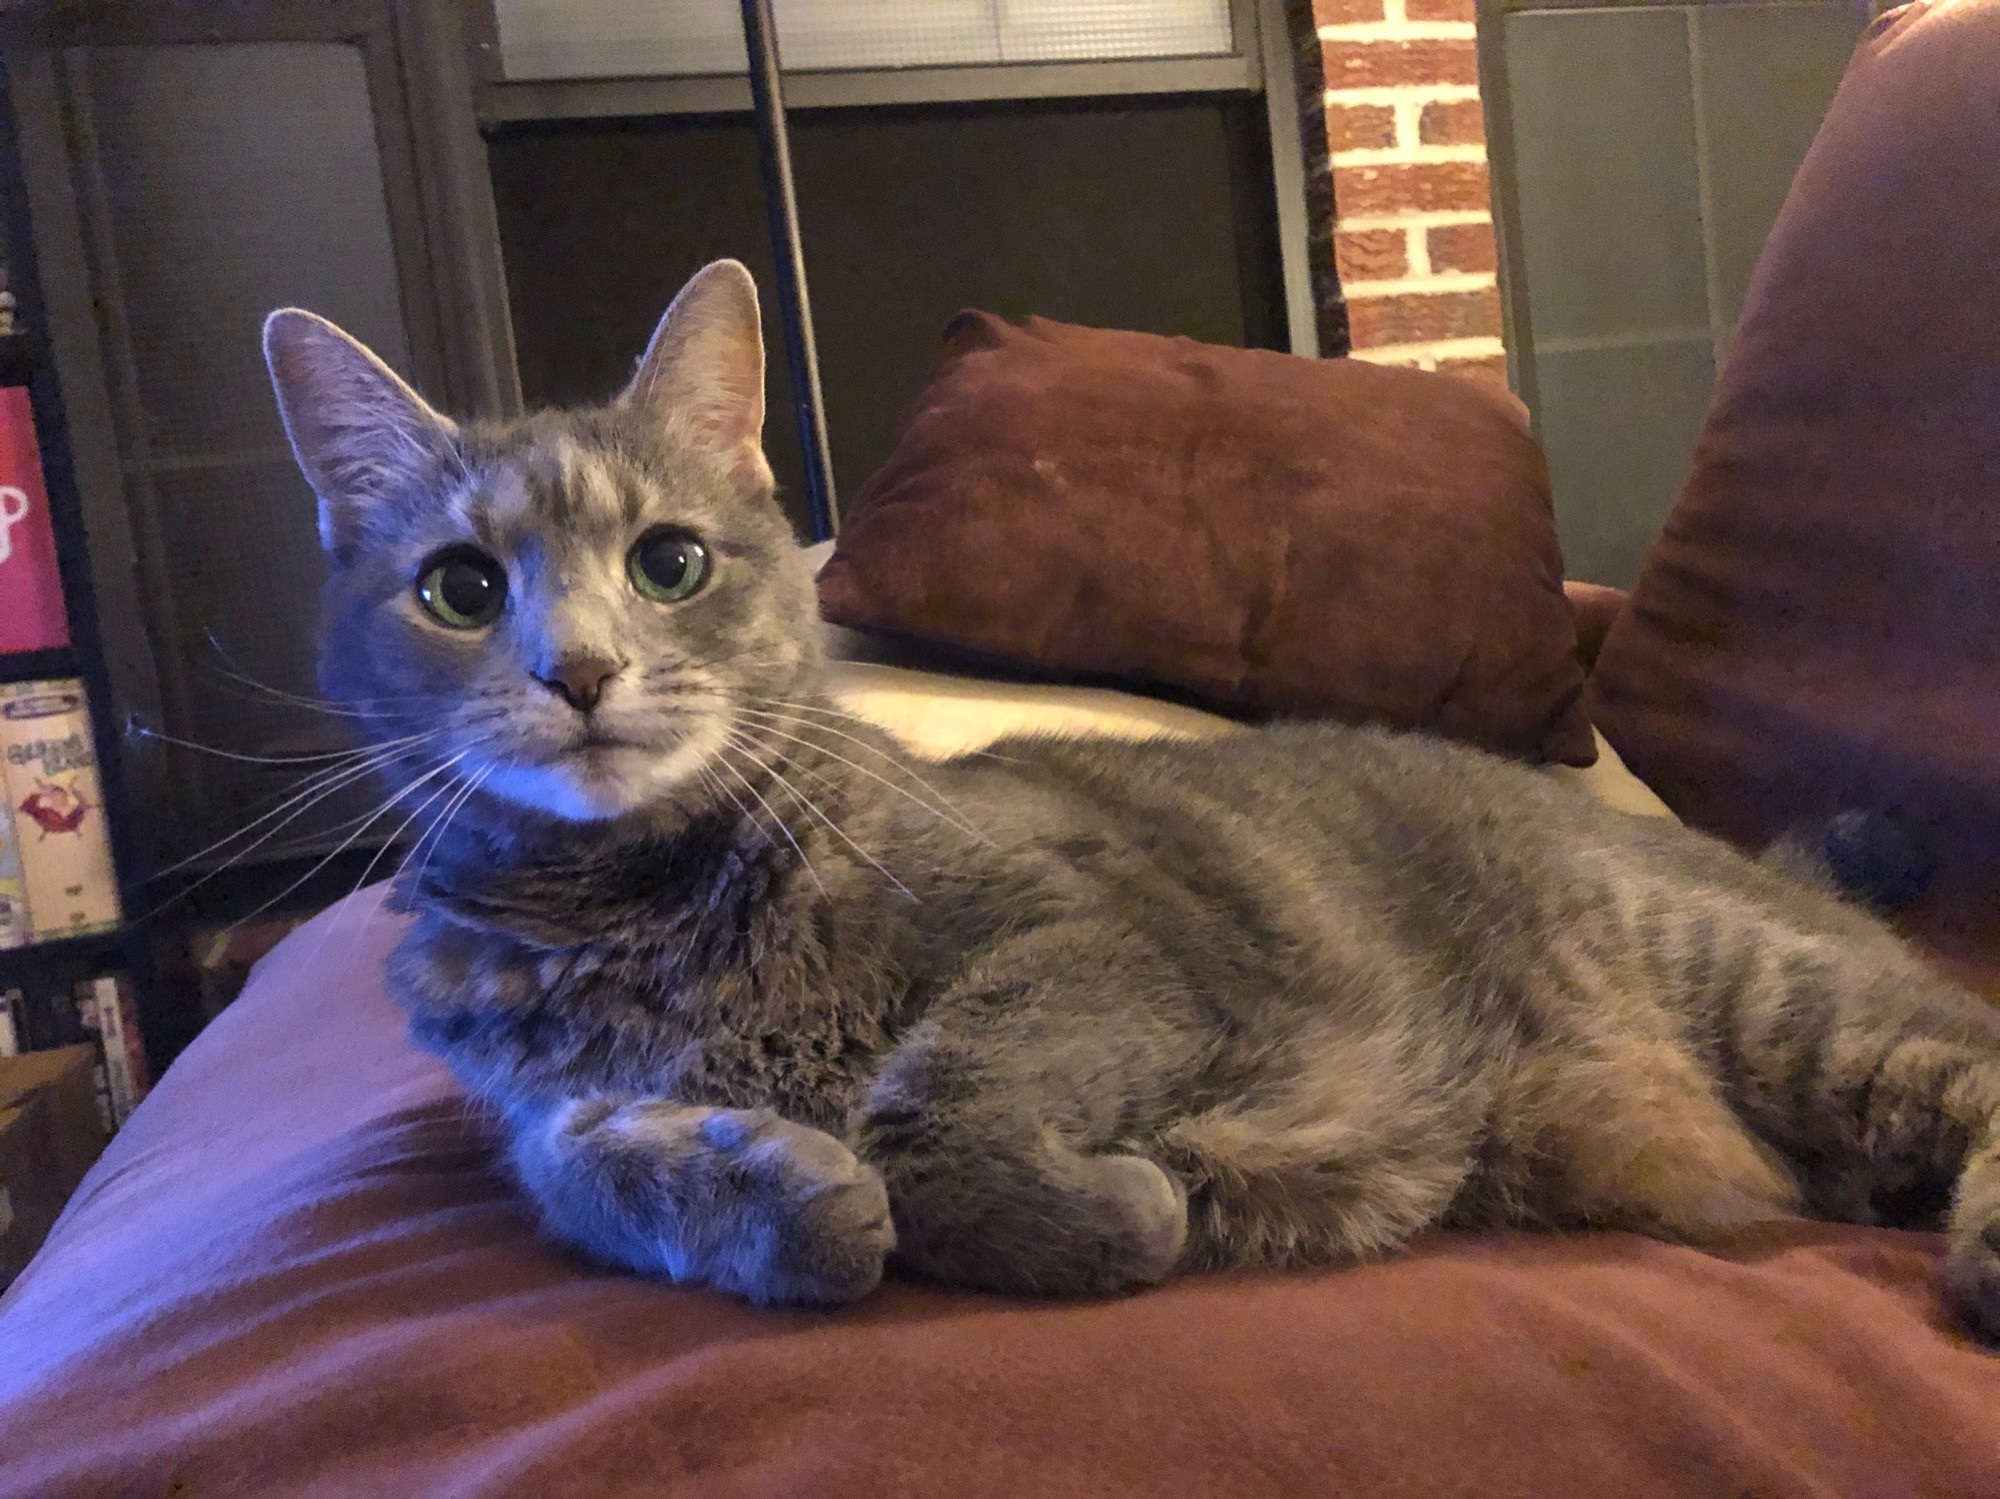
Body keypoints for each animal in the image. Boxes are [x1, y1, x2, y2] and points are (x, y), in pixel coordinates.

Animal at [262, 263, 2000, 1343]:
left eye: (670, 561)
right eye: (462, 587)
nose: (579, 669)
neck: (643, 910)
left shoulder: (1095, 936)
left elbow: (937, 1096)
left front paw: (1106, 1213)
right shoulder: (544, 1108)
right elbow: (585, 1169)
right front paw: (789, 1200)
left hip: (1786, 1002)